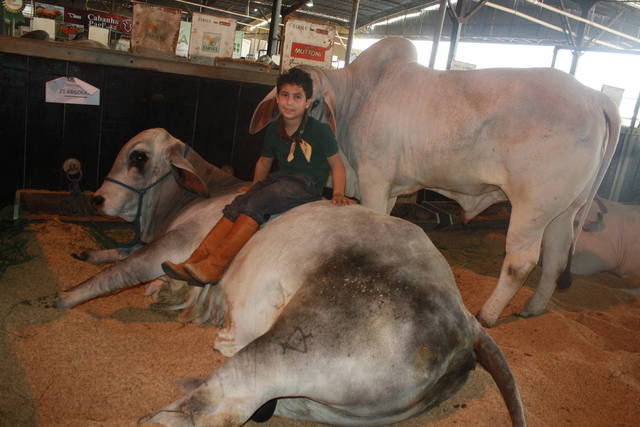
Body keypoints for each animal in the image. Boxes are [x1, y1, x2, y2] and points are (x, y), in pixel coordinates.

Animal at [250, 36, 620, 328]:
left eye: (312, 100)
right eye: (286, 98)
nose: (293, 136)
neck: (358, 96)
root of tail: (594, 96)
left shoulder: (374, 176)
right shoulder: (388, 187)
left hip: (533, 207)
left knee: (521, 261)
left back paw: (487, 314)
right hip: (564, 210)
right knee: (556, 256)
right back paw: (533, 308)